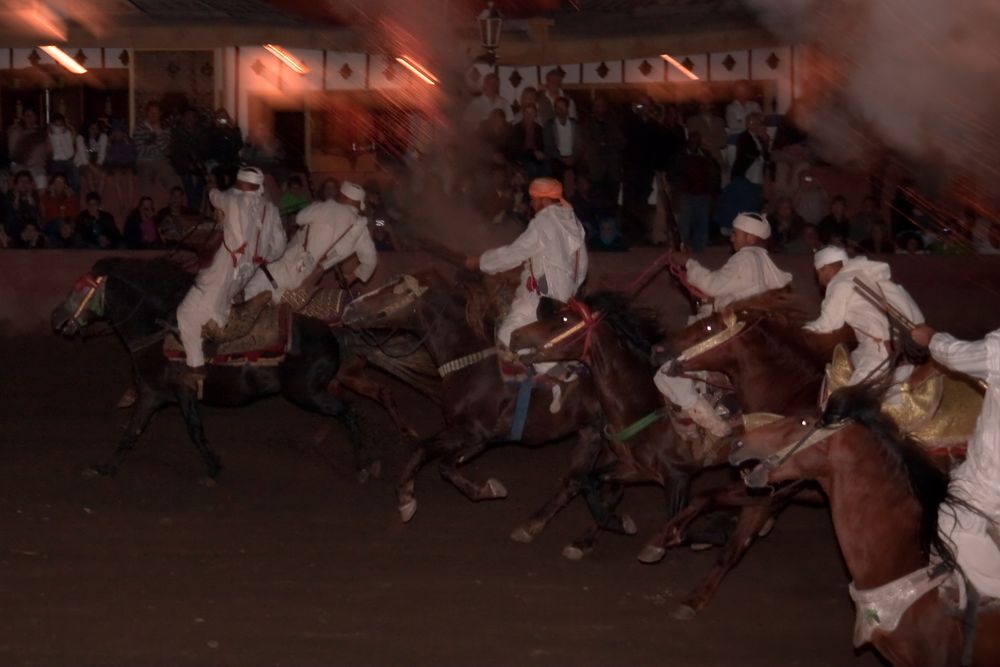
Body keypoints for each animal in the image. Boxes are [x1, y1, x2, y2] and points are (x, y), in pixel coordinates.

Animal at [49, 258, 390, 482]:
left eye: (80, 290)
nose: (56, 318)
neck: (157, 332)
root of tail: (334, 333)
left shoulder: (183, 391)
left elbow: (195, 430)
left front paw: (213, 468)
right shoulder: (151, 393)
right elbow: (131, 432)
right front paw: (105, 468)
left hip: (307, 392)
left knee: (349, 412)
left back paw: (364, 465)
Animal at [516, 294, 852, 620]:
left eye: (562, 318)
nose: (516, 337)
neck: (642, 402)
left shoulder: (678, 477)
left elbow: (677, 521)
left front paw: (675, 539)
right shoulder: (634, 467)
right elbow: (589, 481)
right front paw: (602, 530)